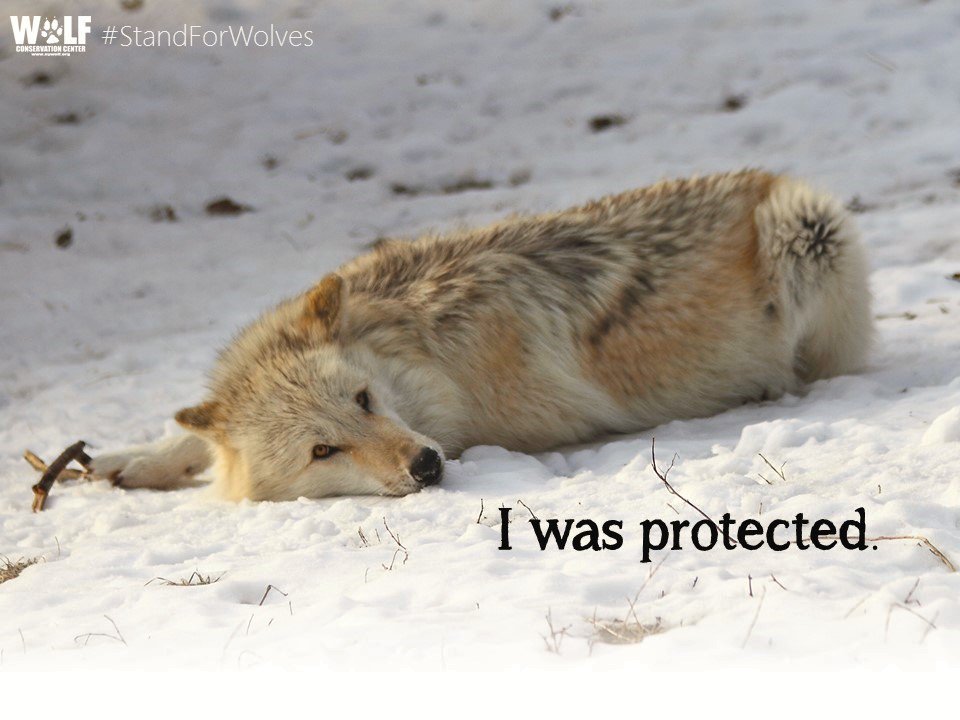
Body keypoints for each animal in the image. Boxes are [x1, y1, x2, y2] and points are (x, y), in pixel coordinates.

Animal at [88, 170, 872, 501]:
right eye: (321, 449)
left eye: (364, 400)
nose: (426, 464)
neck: (422, 347)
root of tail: (762, 176)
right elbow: (193, 431)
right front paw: (128, 461)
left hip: (808, 231)